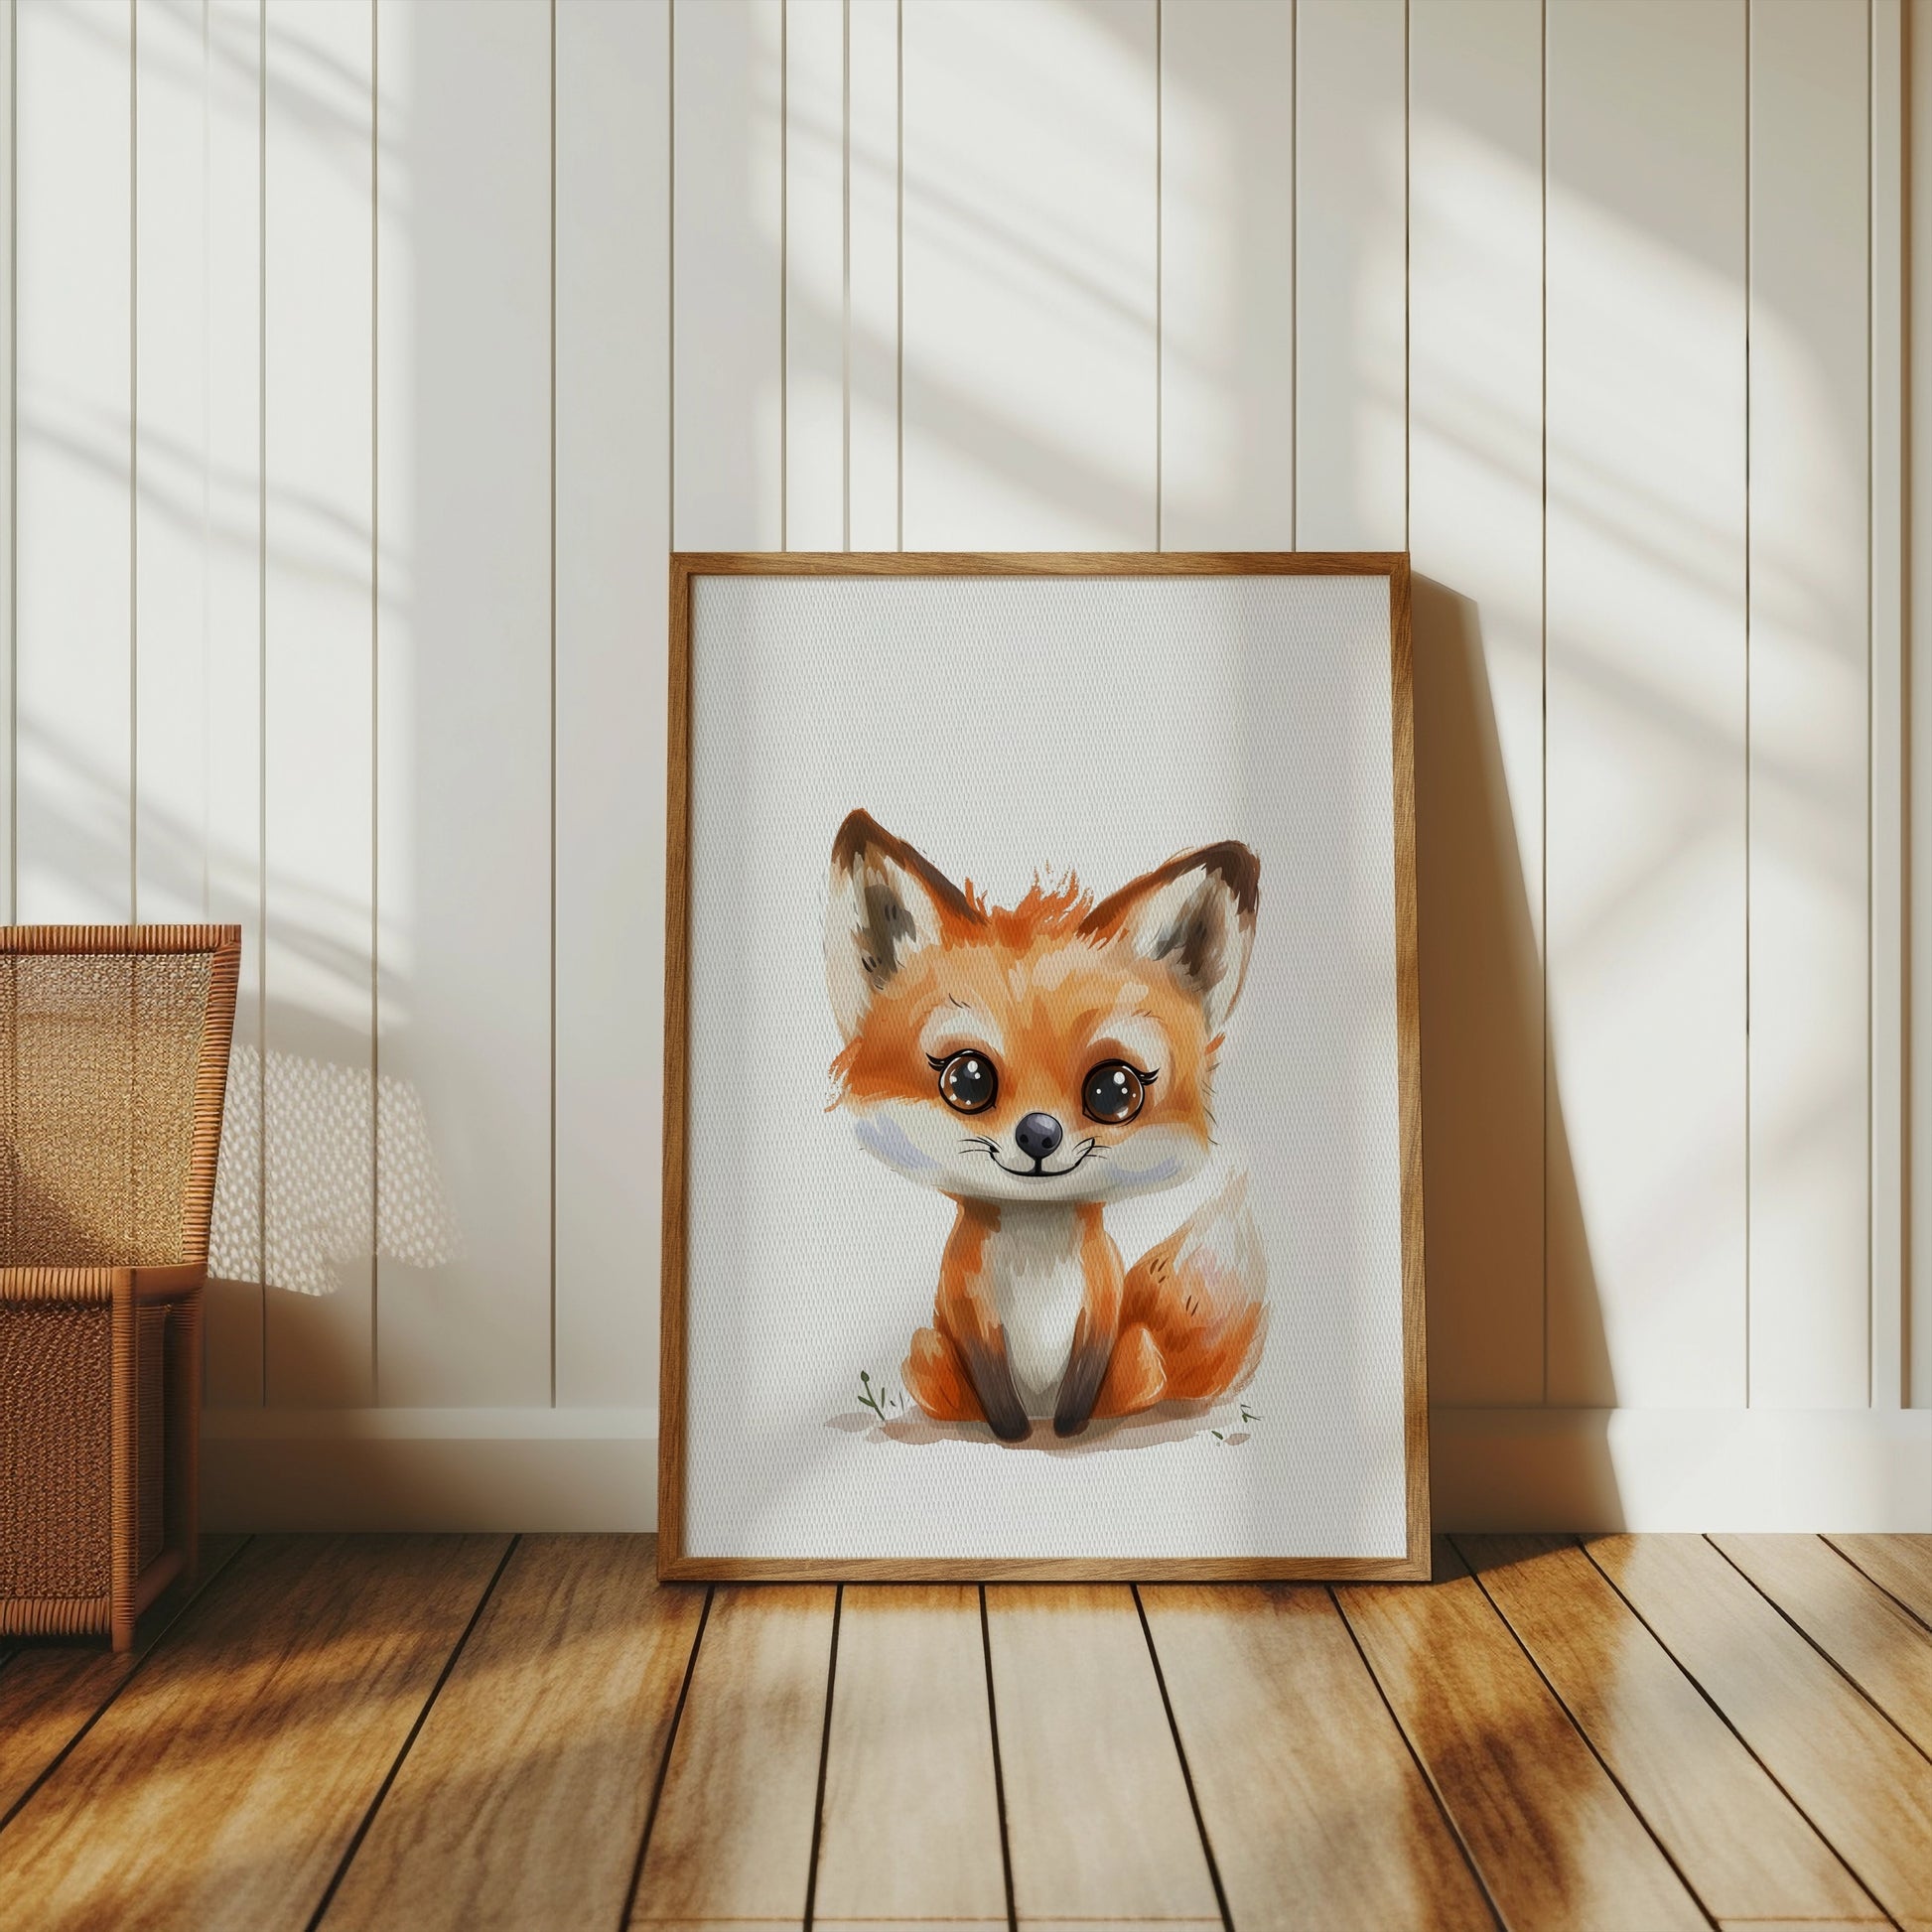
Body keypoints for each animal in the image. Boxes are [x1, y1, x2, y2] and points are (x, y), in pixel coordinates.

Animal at [825, 809, 1268, 1443]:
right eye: (967, 1081)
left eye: (1115, 1090)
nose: (1039, 1134)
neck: (1035, 1248)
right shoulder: (969, 1310)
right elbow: (994, 1383)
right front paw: (1011, 1432)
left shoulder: (1101, 1307)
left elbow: (1081, 1384)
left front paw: (1067, 1430)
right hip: (927, 1354)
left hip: (1140, 1354)